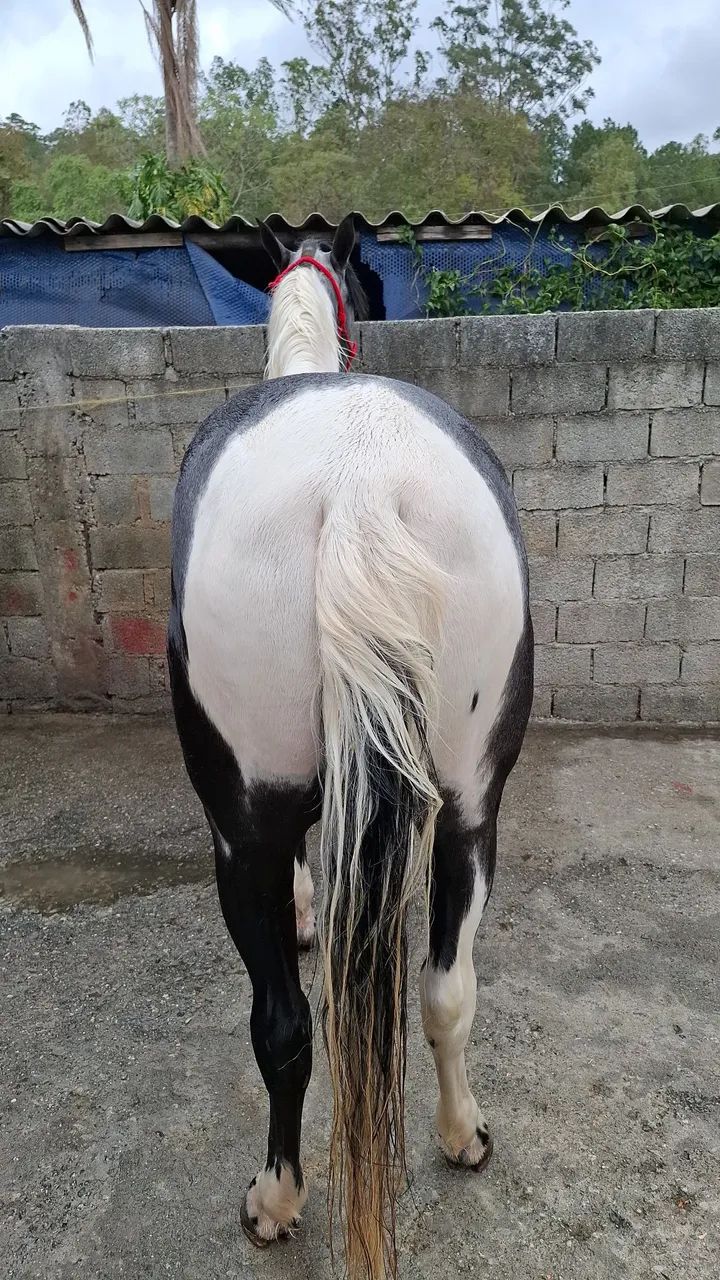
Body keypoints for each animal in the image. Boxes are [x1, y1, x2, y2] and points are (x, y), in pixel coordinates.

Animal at [167, 215, 533, 1280]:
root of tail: (359, 480)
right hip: (473, 802)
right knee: (446, 988)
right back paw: (462, 1135)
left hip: (239, 832)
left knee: (285, 1027)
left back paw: (276, 1199)